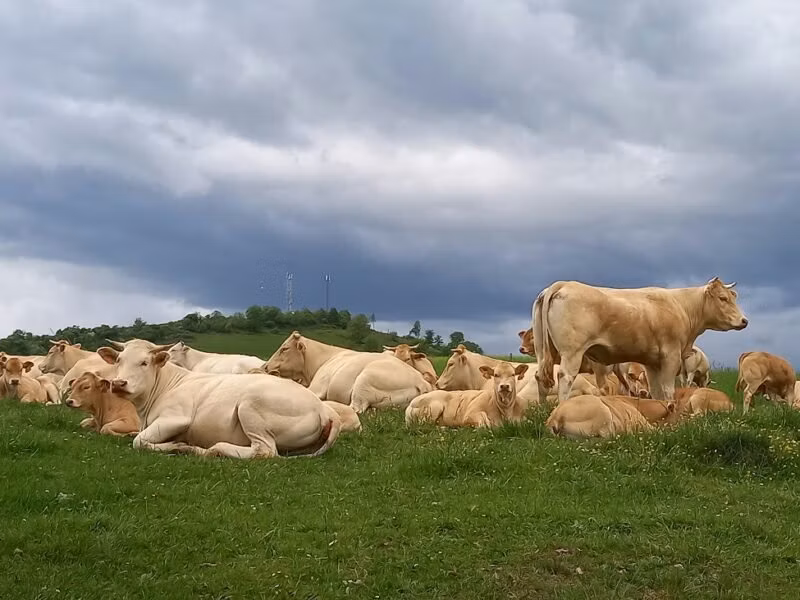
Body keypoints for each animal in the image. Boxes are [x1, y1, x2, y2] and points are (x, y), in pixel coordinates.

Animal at [96, 340, 341, 459]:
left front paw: (177, 445)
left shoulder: (176, 418)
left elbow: (139, 441)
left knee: (264, 451)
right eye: (118, 360)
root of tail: (325, 409)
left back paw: (212, 449)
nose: (118, 383)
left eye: (144, 362)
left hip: (249, 406)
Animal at [533, 277, 747, 404]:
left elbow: (656, 391)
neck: (681, 306)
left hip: (543, 351)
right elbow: (668, 389)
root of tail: (563, 284)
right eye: (723, 298)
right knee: (565, 377)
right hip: (572, 352)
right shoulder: (671, 356)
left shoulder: (652, 362)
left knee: (540, 377)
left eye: (732, 297)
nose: (744, 320)